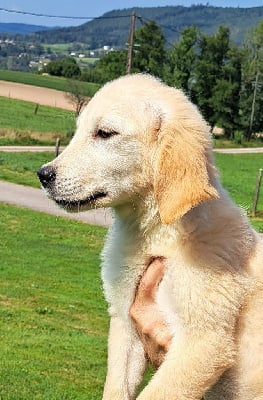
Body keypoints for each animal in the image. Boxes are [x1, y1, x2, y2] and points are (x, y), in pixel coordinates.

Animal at [37, 75, 263, 400]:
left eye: (105, 133)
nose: (43, 175)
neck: (152, 235)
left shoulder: (203, 341)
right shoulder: (124, 324)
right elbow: (116, 388)